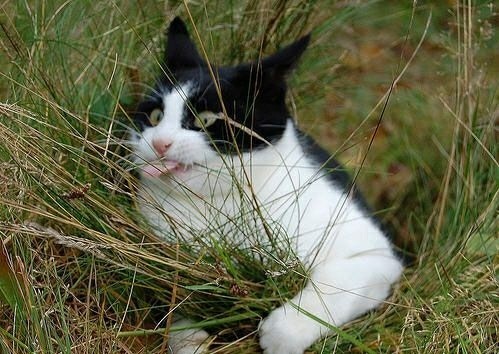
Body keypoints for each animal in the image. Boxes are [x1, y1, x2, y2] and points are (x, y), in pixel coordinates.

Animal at [129, 18, 402, 354]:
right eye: (154, 116)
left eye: (206, 119)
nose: (159, 143)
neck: (220, 204)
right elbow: (174, 299)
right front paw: (189, 338)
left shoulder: (376, 256)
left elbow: (334, 284)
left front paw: (282, 332)